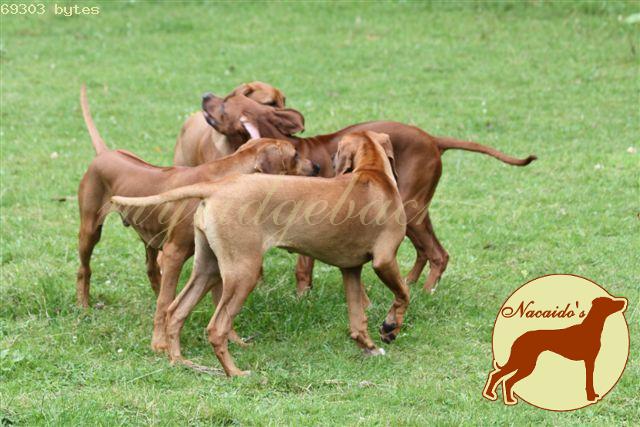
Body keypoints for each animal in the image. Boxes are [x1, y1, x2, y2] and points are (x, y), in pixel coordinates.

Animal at [76, 85, 316, 351]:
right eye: (295, 154)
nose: (316, 167)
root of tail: (105, 154)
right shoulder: (174, 253)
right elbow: (167, 302)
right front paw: (159, 344)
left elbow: (217, 302)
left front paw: (233, 340)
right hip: (90, 230)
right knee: (84, 269)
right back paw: (83, 305)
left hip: (151, 235)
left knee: (152, 270)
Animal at [112, 131, 410, 377]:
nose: (319, 167)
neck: (373, 173)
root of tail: (217, 187)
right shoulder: (384, 260)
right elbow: (403, 294)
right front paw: (390, 327)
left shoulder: (350, 269)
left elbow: (358, 320)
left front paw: (369, 346)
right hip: (244, 273)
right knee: (216, 328)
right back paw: (235, 373)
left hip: (208, 268)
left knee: (175, 311)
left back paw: (181, 362)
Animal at [193, 90, 537, 294]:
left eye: (225, 102)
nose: (206, 94)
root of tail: (432, 139)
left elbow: (303, 269)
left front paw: (302, 298)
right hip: (410, 213)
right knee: (426, 251)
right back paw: (410, 283)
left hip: (411, 211)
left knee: (439, 254)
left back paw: (426, 293)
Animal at [482, 296, 627, 405]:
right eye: (610, 301)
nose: (624, 302)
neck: (591, 328)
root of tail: (518, 338)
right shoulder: (589, 361)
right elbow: (589, 381)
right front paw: (591, 397)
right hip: (524, 363)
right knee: (501, 377)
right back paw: (496, 396)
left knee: (503, 378)